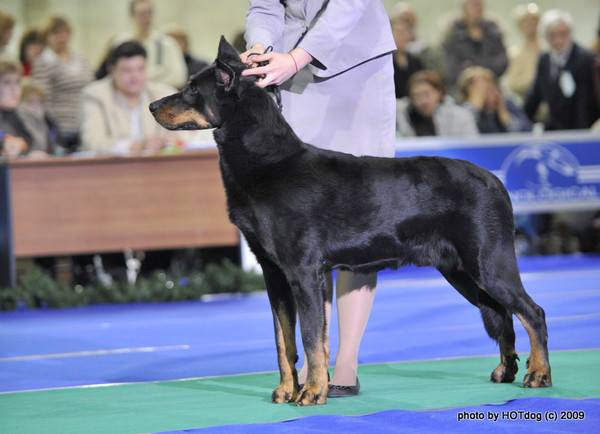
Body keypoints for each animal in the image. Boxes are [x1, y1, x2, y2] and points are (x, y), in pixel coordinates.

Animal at [149, 37, 548, 406]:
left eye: (192, 89)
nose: (152, 106)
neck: (267, 160)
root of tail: (496, 181)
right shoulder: (273, 272)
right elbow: (284, 340)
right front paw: (287, 390)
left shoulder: (304, 271)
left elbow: (311, 338)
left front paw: (311, 393)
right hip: (461, 270)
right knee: (501, 313)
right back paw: (506, 371)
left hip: (488, 262)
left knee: (532, 312)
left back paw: (538, 374)